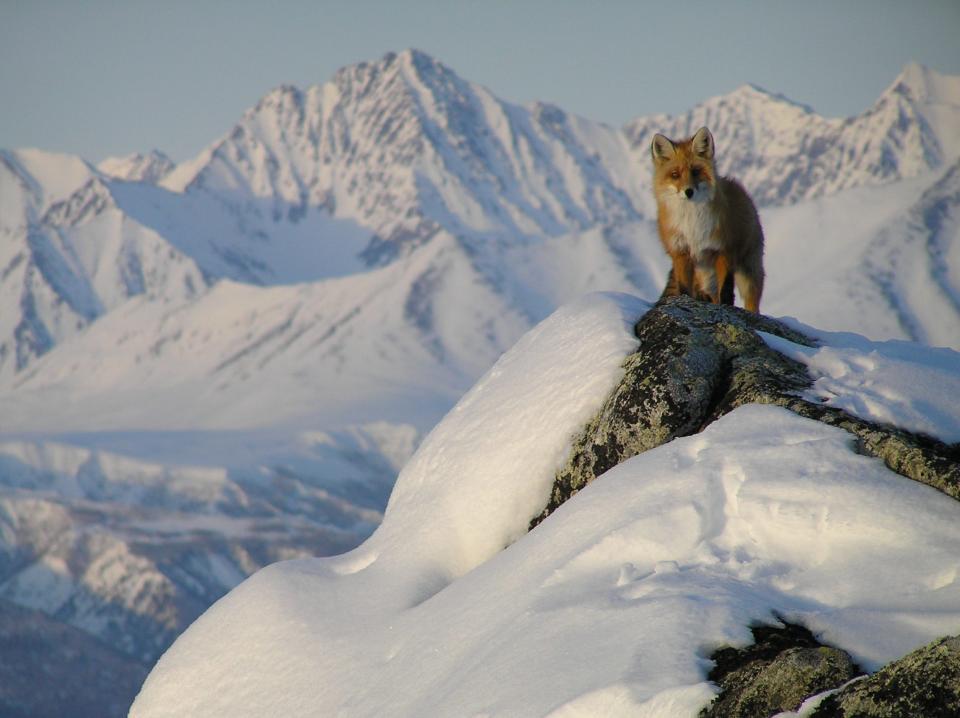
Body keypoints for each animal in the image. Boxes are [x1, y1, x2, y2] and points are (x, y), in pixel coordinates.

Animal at [652, 126, 764, 316]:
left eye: (696, 171)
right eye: (675, 174)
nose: (688, 191)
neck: (692, 223)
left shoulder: (724, 251)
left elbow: (726, 291)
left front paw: (727, 309)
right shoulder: (681, 252)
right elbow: (684, 289)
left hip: (748, 272)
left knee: (750, 301)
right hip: (704, 275)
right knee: (708, 294)